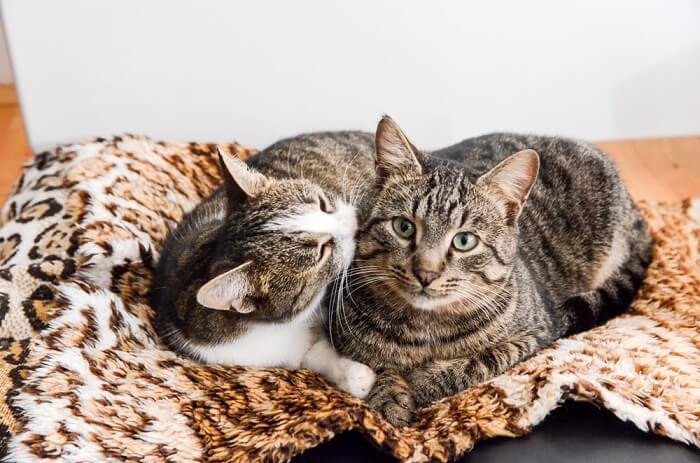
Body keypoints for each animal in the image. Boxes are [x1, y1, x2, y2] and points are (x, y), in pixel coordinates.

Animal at [330, 117, 652, 428]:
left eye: (464, 241)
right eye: (403, 227)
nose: (426, 273)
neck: (426, 328)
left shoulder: (536, 333)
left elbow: (478, 362)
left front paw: (420, 381)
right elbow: (379, 367)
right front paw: (390, 396)